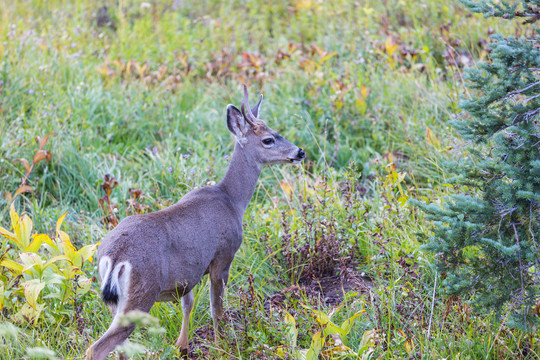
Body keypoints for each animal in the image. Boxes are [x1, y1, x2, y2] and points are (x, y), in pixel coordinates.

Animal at [85, 85, 304, 360]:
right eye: (268, 139)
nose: (300, 152)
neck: (232, 200)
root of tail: (114, 257)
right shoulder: (222, 256)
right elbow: (216, 309)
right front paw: (222, 347)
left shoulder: (189, 273)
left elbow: (188, 304)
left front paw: (182, 345)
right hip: (142, 293)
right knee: (96, 347)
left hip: (116, 302)